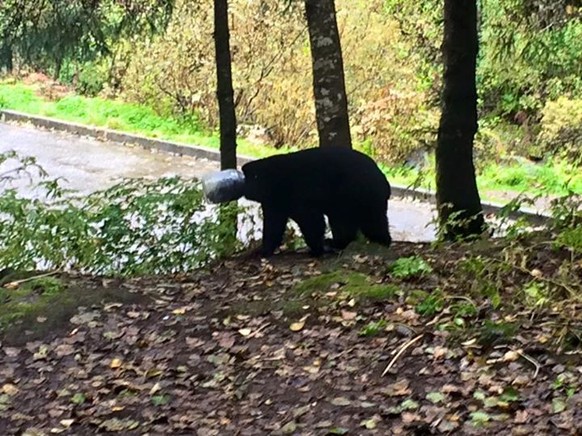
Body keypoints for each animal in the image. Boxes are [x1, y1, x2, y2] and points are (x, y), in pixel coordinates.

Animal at [242, 146, 392, 255]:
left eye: (249, 178)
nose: (245, 189)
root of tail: (383, 178)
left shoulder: (298, 193)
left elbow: (311, 220)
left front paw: (316, 249)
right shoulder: (274, 202)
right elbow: (273, 224)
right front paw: (263, 250)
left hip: (353, 193)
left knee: (355, 221)